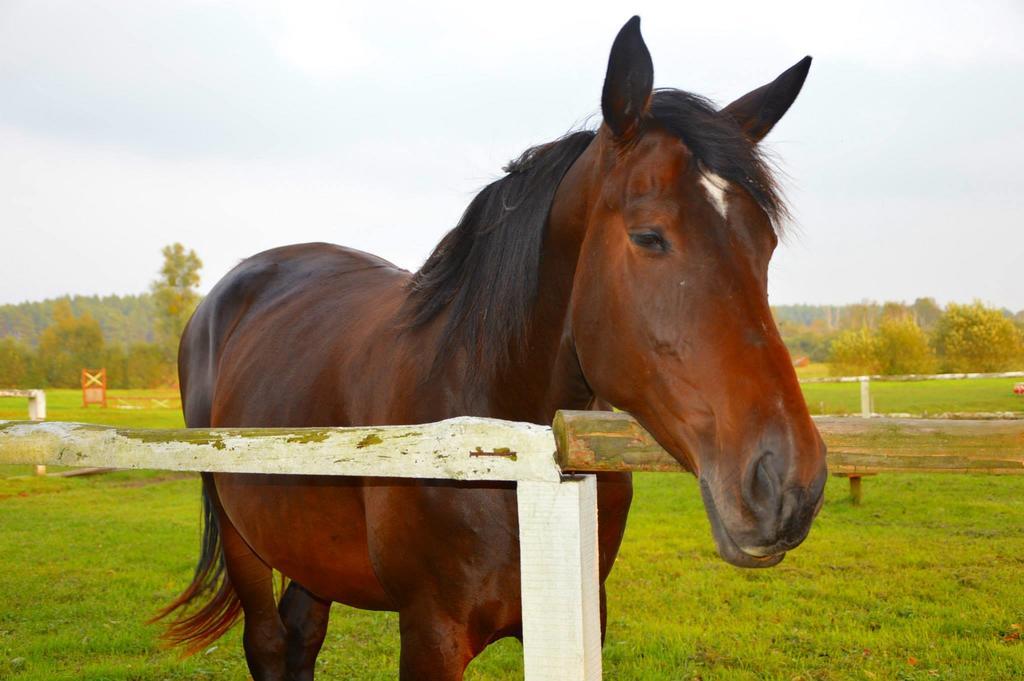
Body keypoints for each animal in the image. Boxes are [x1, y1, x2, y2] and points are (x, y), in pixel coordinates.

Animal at [161, 15, 831, 679]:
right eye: (649, 236)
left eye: (766, 244)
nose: (787, 485)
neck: (502, 450)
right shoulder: (430, 635)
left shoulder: (581, 619)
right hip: (242, 535)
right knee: (270, 644)